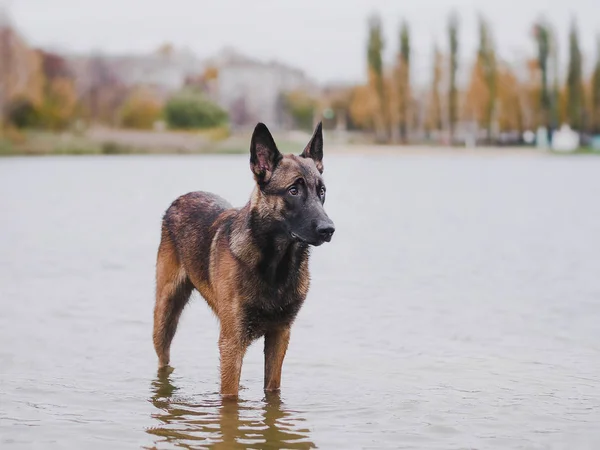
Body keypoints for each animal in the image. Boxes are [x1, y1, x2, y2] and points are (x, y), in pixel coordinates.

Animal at [152, 120, 336, 398]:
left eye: (321, 191)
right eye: (293, 190)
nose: (329, 229)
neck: (275, 266)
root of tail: (181, 198)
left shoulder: (279, 335)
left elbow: (272, 390)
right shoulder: (232, 341)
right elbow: (230, 397)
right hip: (165, 317)